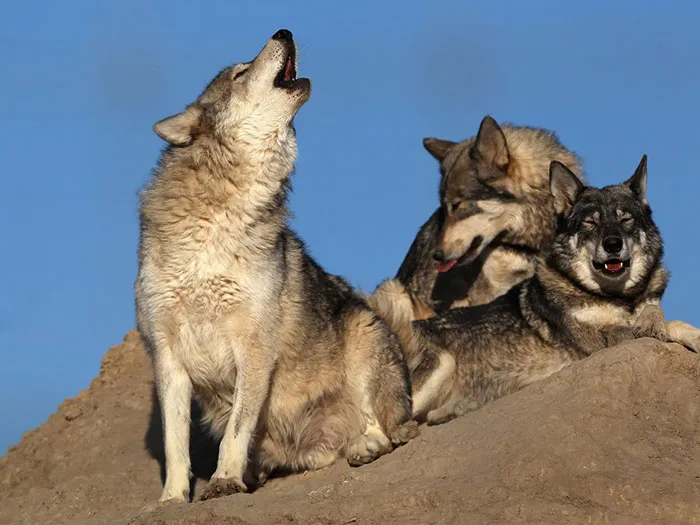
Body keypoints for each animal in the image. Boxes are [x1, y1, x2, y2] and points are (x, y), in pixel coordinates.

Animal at [135, 29, 416, 504]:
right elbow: (175, 444)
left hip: (362, 334)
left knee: (384, 431)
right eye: (239, 73)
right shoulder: (167, 355)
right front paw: (171, 500)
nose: (284, 31)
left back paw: (364, 446)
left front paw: (224, 481)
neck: (216, 222)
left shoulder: (253, 347)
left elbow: (235, 430)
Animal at [401, 156, 700, 425]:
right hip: (440, 364)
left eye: (625, 219)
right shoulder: (599, 342)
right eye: (590, 222)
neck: (616, 298)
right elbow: (664, 325)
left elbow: (663, 318)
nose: (613, 244)